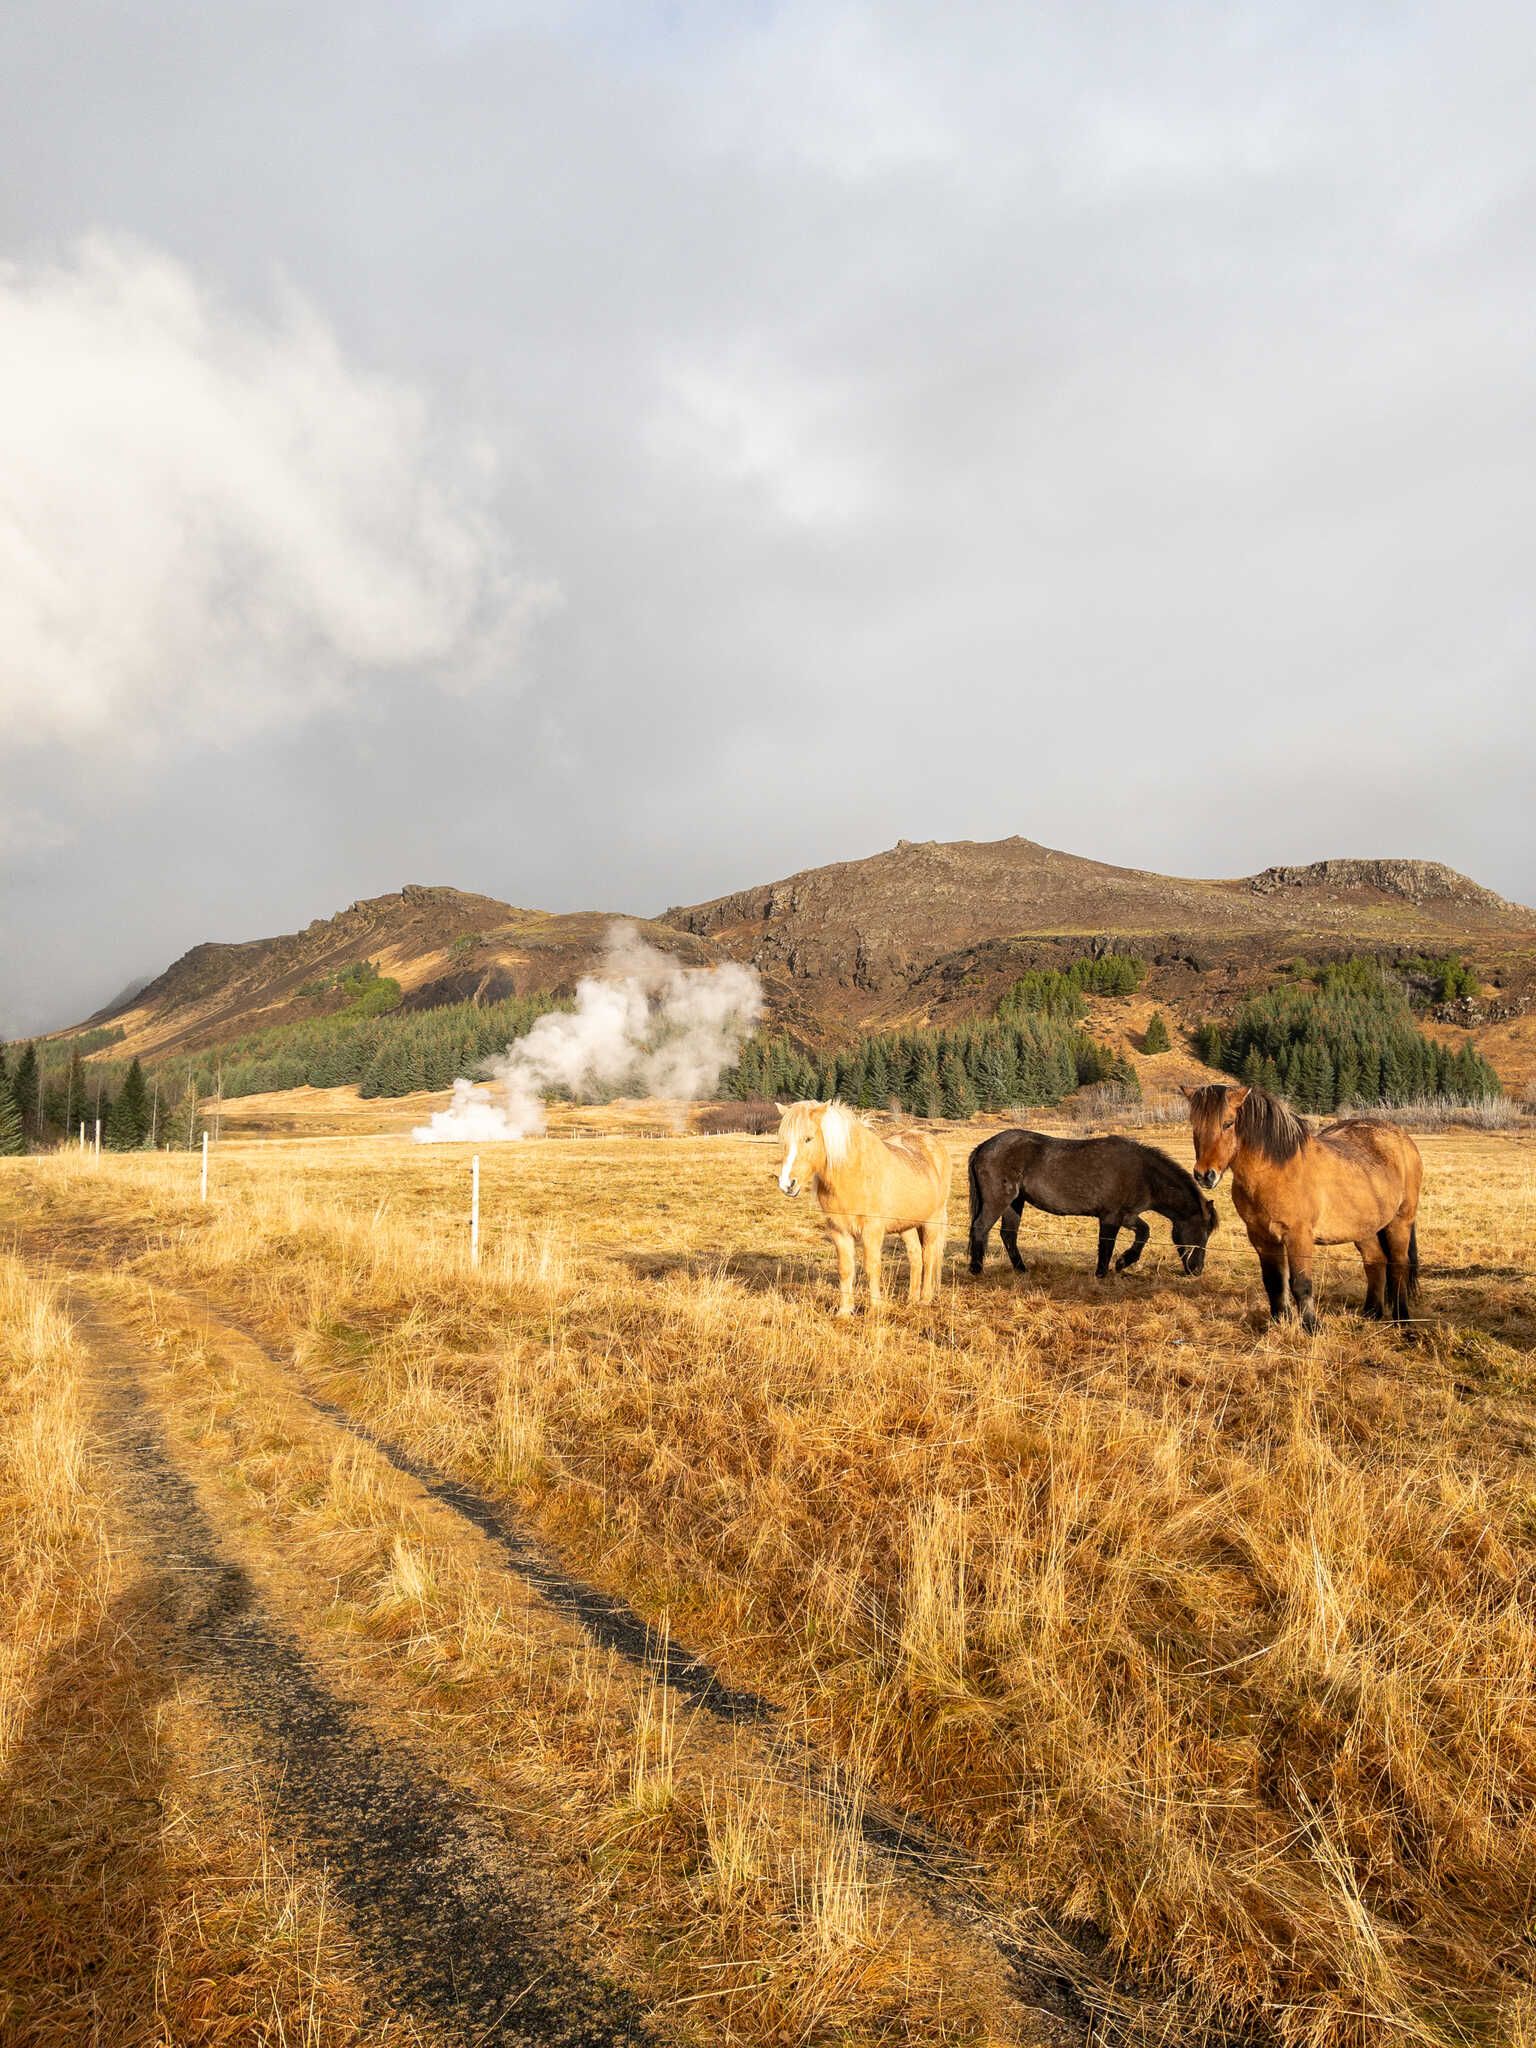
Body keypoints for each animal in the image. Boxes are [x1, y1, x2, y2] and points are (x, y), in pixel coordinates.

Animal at [774, 1105, 958, 1310]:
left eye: (808, 1138)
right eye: (783, 1141)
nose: (787, 1184)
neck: (853, 1172)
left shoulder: (872, 1230)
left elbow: (872, 1267)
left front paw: (875, 1309)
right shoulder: (839, 1231)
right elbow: (845, 1269)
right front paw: (844, 1311)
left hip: (932, 1220)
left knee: (929, 1255)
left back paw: (925, 1299)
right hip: (907, 1224)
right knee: (916, 1256)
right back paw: (911, 1299)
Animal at [974, 1138, 1212, 1277]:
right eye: (1201, 1233)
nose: (1197, 1270)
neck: (1144, 1174)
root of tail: (983, 1147)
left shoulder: (1127, 1216)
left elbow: (1144, 1232)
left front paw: (1123, 1262)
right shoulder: (1111, 1217)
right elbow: (1106, 1245)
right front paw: (1102, 1273)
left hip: (1014, 1203)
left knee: (1008, 1235)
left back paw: (1022, 1270)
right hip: (999, 1200)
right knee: (980, 1228)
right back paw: (976, 1270)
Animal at [1187, 1081, 1433, 1335]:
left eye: (1228, 1123)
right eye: (1194, 1124)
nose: (1204, 1175)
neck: (1275, 1171)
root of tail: (1403, 1138)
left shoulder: (1299, 1236)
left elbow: (1301, 1283)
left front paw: (1311, 1327)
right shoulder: (1262, 1238)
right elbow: (1274, 1282)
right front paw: (1279, 1322)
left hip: (1400, 1222)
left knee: (1399, 1265)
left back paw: (1402, 1320)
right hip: (1365, 1227)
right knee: (1375, 1261)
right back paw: (1371, 1313)